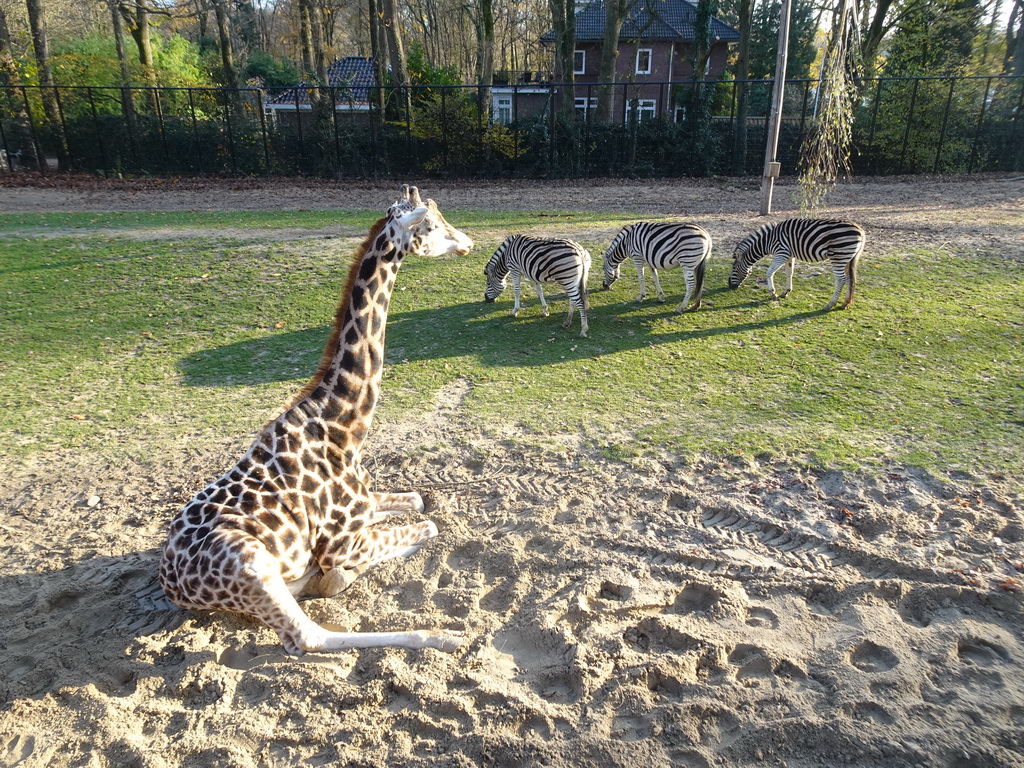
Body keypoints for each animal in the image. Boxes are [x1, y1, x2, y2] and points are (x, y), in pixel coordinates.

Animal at [158, 185, 471, 655]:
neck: (344, 428)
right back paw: (443, 634)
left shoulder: (364, 508)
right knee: (308, 636)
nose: (468, 241)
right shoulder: (341, 543)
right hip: (251, 564)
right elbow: (426, 524)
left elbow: (417, 503)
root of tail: (171, 582)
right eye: (431, 226)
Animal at [729, 218, 864, 311]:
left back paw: (830, 304)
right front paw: (786, 292)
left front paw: (773, 294)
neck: (768, 241)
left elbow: (769, 272)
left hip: (838, 256)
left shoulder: (782, 252)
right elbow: (789, 272)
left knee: (841, 279)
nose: (730, 286)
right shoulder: (789, 254)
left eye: (733, 268)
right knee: (850, 279)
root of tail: (861, 231)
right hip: (847, 258)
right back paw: (845, 303)